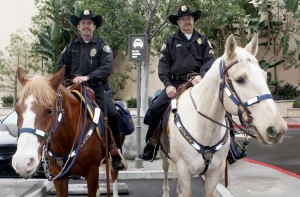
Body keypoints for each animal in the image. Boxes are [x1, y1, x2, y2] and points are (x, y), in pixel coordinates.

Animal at [12, 66, 123, 197]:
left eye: (49, 111)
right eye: (16, 110)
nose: (22, 163)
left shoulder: (92, 173)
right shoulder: (59, 177)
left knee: (114, 174)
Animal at [161, 34, 288, 197]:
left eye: (265, 76)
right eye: (240, 79)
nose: (277, 128)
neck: (204, 128)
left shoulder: (215, 173)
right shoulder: (185, 172)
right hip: (164, 155)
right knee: (165, 171)